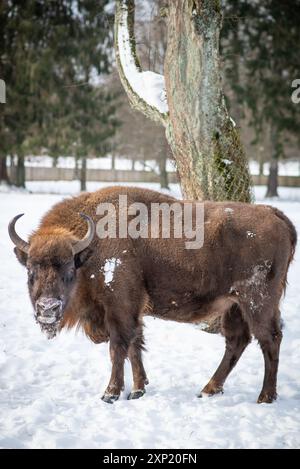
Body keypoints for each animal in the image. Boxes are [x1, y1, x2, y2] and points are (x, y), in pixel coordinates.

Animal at [8, 186, 296, 402]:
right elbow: (135, 345)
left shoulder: (119, 305)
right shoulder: (132, 309)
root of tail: (276, 215)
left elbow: (119, 346)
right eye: (30, 271)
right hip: (234, 304)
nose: (47, 308)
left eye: (69, 269)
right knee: (237, 341)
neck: (90, 248)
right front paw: (138, 389)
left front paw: (111, 394)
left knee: (270, 339)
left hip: (257, 301)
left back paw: (265, 397)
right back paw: (208, 390)